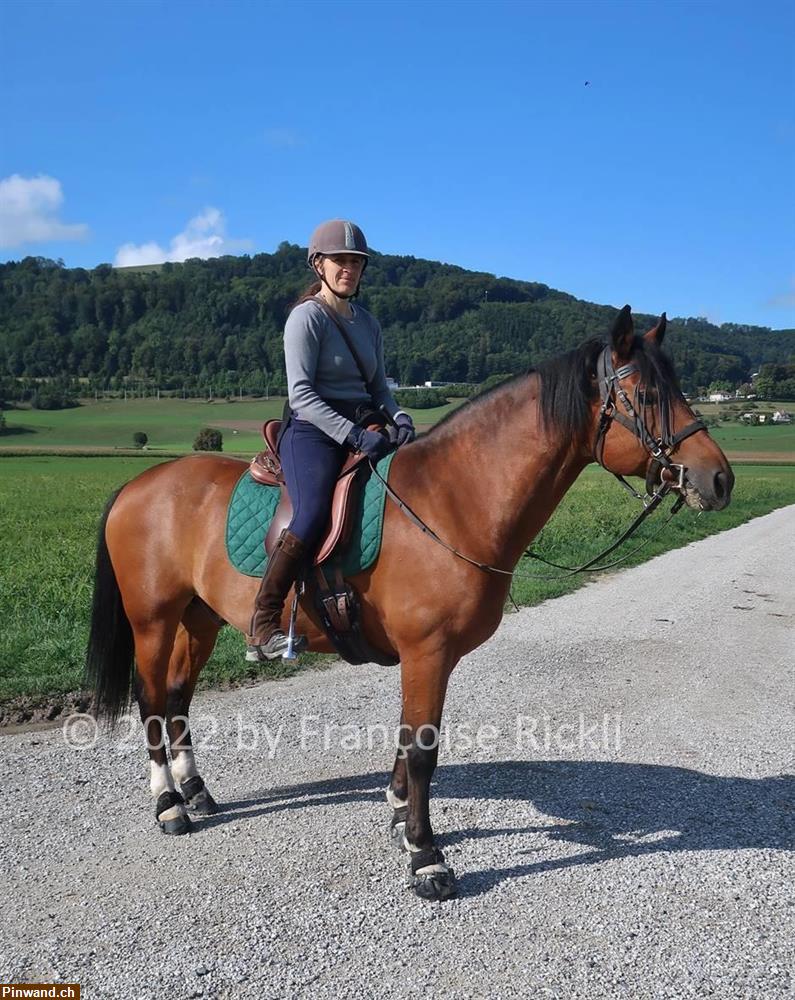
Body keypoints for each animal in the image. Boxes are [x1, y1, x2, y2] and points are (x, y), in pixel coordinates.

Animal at [85, 304, 732, 900]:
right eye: (647, 394)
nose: (719, 478)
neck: (452, 499)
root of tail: (137, 484)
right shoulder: (427, 651)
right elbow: (423, 750)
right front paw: (425, 856)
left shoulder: (429, 658)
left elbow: (408, 741)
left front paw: (399, 816)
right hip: (154, 620)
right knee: (151, 698)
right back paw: (169, 805)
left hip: (200, 619)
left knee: (177, 697)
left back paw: (196, 791)